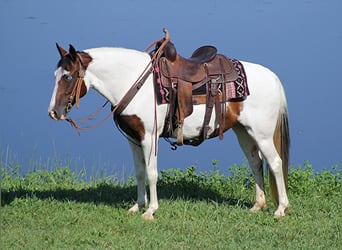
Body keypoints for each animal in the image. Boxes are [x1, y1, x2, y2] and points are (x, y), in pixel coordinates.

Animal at [47, 29, 288, 221]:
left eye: (68, 77)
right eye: (56, 74)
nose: (53, 112)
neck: (134, 82)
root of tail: (273, 78)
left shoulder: (149, 137)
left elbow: (152, 172)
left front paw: (150, 210)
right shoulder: (133, 139)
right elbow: (140, 172)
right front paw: (137, 206)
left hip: (262, 134)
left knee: (275, 163)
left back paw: (281, 209)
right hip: (244, 131)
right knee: (255, 163)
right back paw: (258, 205)